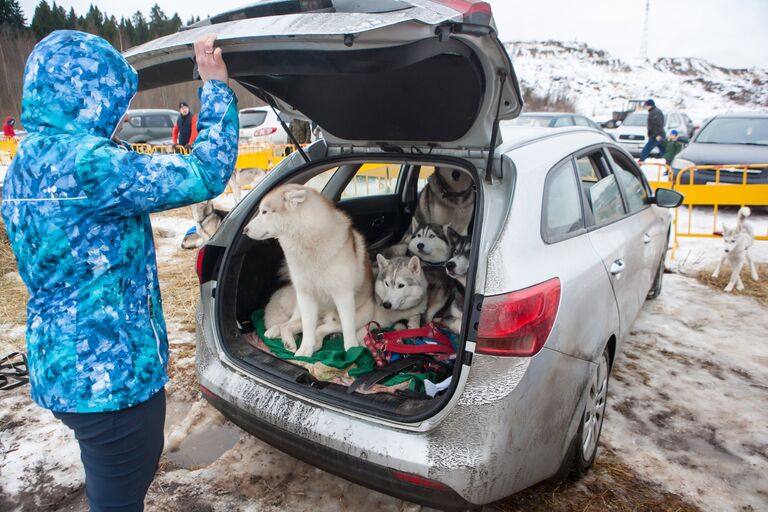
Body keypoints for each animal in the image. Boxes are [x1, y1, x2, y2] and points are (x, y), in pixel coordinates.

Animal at [246, 184, 376, 356]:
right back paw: (283, 336)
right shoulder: (305, 297)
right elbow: (307, 329)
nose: (245, 230)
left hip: (362, 315)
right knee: (289, 325)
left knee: (323, 328)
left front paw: (352, 349)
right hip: (301, 309)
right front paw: (305, 349)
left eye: (264, 212)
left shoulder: (344, 296)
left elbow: (348, 328)